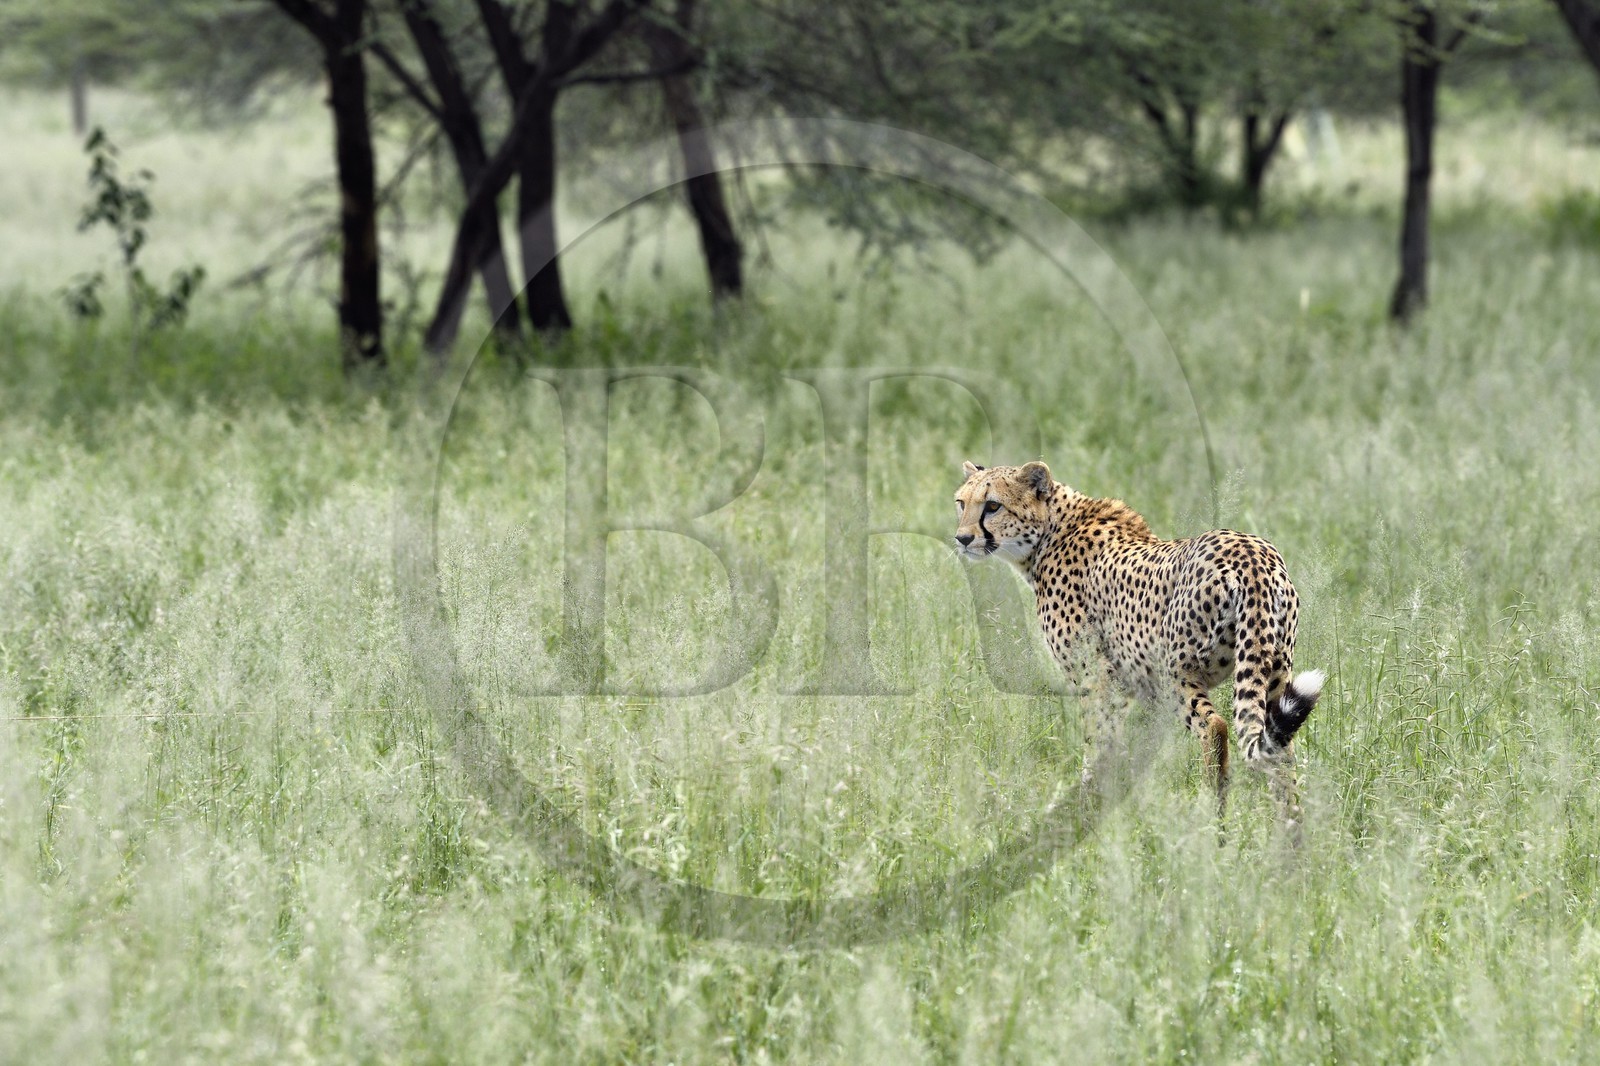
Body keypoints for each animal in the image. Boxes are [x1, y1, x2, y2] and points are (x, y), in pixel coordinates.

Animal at [953, 459, 1323, 823]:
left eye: (993, 505)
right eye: (961, 503)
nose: (962, 538)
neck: (1049, 533)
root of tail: (1251, 551)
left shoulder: (1097, 676)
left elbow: (1097, 743)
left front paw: (1086, 807)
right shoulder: (1130, 687)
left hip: (1177, 670)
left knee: (1215, 727)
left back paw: (1213, 824)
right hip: (1274, 670)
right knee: (1281, 749)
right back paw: (1289, 829)